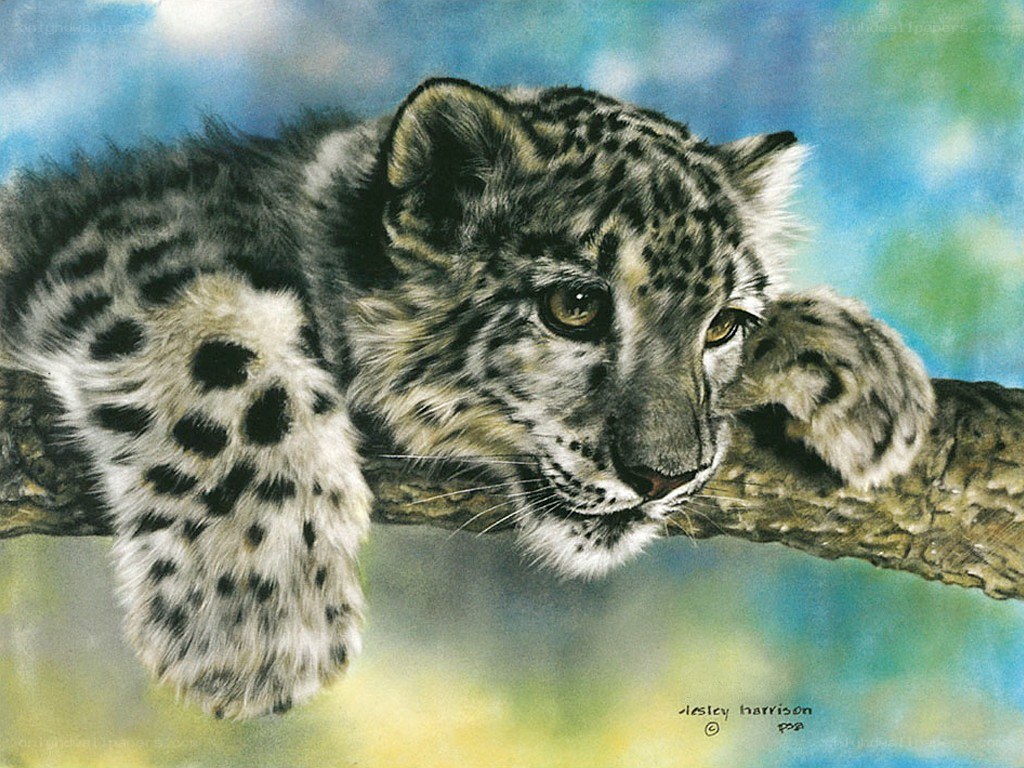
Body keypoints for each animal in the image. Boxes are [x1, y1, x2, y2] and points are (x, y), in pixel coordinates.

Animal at [0, 78, 934, 718]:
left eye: (725, 325)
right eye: (575, 305)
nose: (666, 474)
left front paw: (870, 376)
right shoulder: (135, 249)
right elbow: (225, 360)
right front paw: (256, 627)